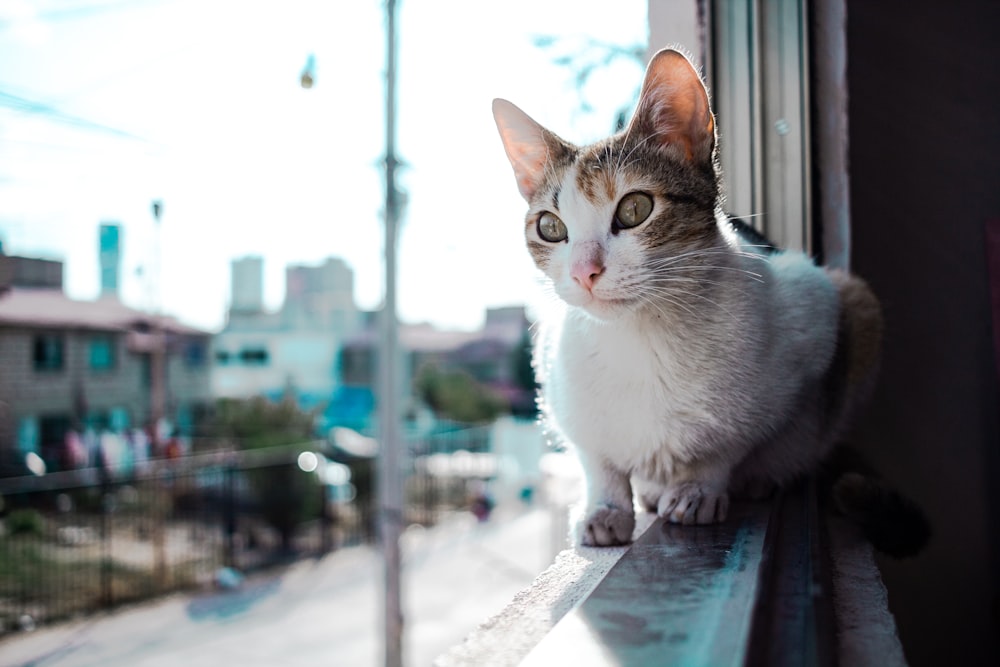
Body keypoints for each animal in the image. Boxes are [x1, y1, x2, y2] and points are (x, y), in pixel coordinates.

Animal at [492, 48, 928, 560]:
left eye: (634, 209)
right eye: (551, 227)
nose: (583, 271)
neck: (640, 339)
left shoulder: (809, 314)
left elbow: (731, 441)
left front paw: (700, 487)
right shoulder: (561, 388)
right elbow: (597, 459)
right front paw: (605, 506)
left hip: (858, 304)